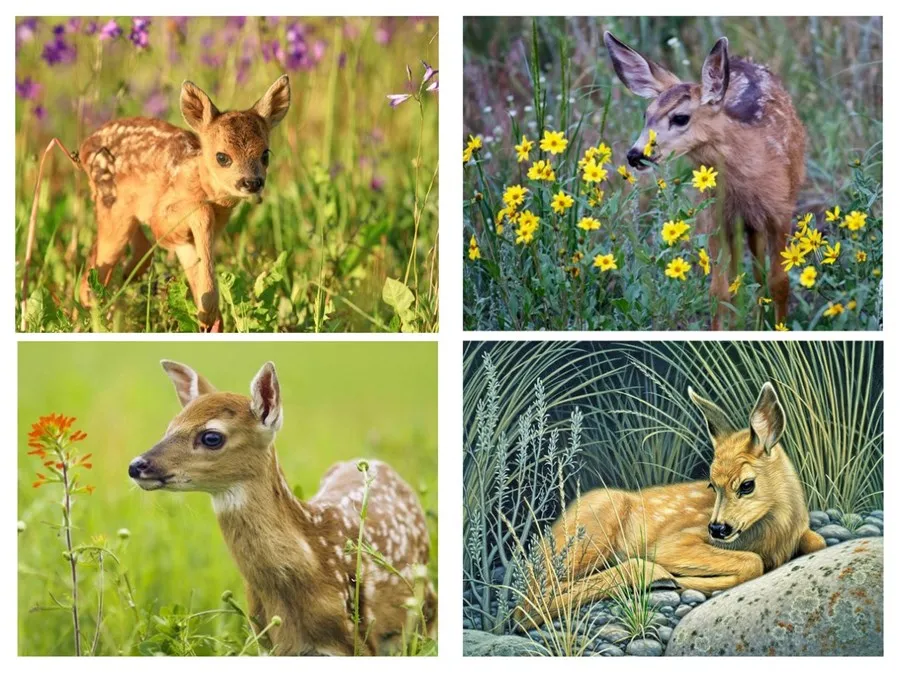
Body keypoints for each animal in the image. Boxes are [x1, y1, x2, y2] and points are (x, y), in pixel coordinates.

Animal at [516, 382, 826, 627]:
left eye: (747, 485)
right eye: (712, 485)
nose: (717, 529)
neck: (777, 534)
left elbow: (818, 541)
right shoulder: (673, 543)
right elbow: (753, 562)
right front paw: (687, 580)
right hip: (590, 533)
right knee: (528, 605)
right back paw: (656, 577)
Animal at [604, 32, 806, 329]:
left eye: (680, 117)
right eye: (646, 115)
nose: (635, 154)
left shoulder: (781, 211)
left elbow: (780, 282)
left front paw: (780, 328)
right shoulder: (715, 218)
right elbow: (718, 291)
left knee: (759, 273)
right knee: (741, 275)